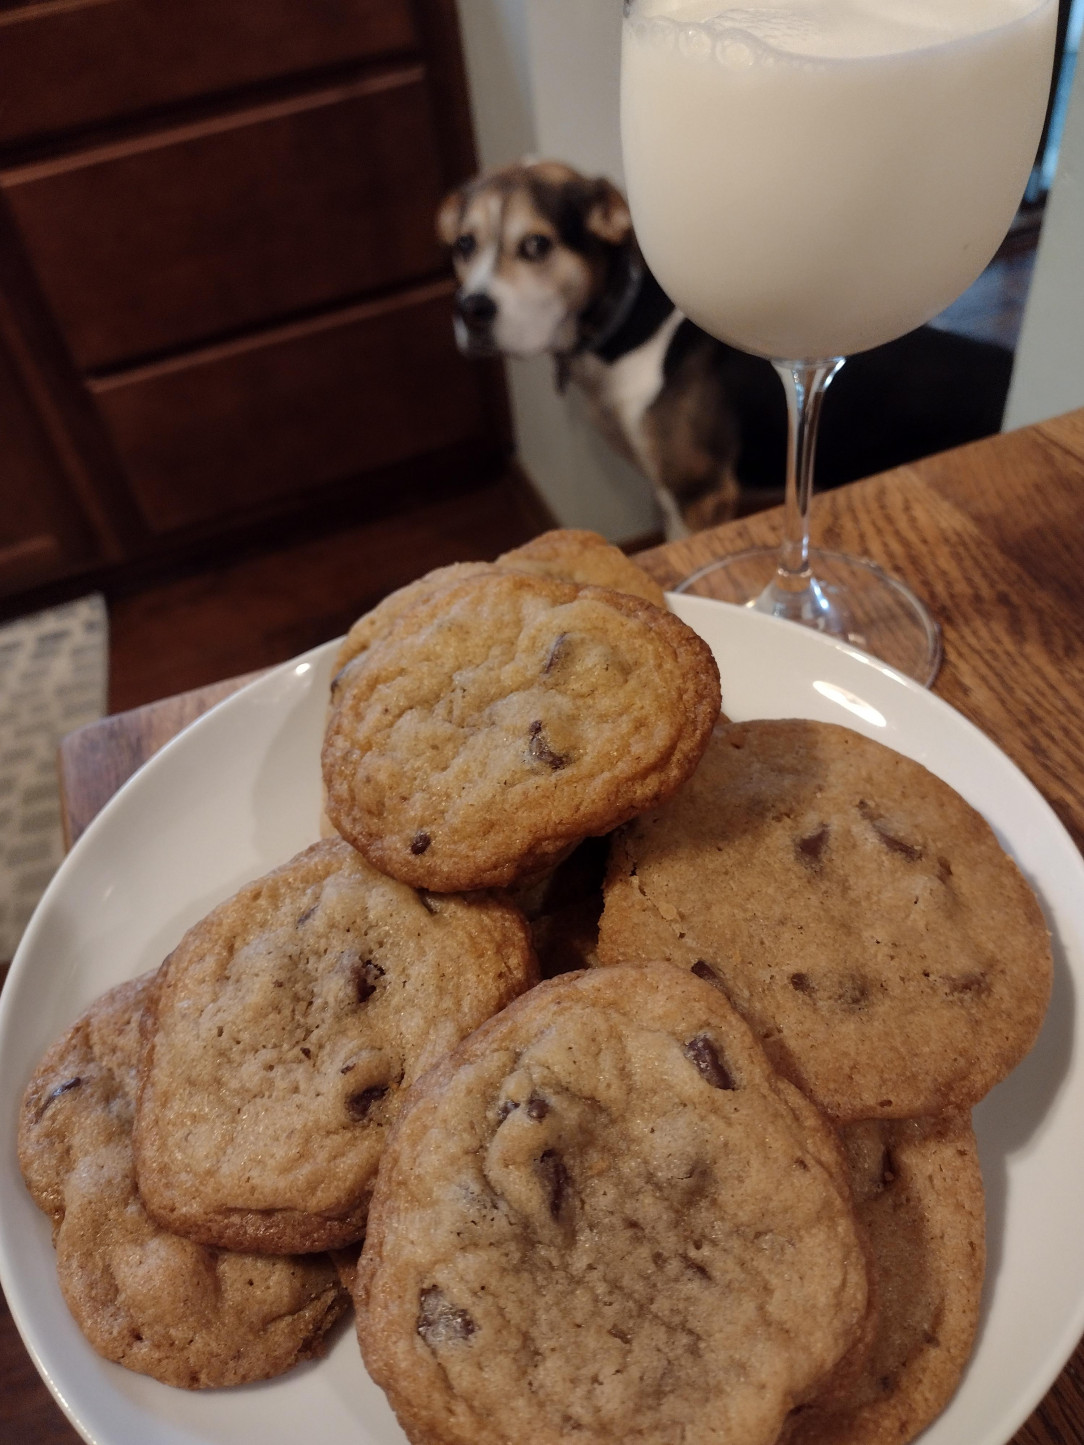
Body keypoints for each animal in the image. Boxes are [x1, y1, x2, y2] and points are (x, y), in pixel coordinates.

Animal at [436, 159, 1017, 543]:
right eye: (464, 245)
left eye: (537, 245)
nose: (472, 309)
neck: (624, 330)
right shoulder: (661, 487)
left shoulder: (699, 493)